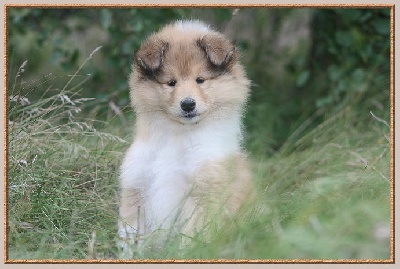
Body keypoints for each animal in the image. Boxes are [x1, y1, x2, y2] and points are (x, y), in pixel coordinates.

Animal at [117, 19, 252, 251]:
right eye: (171, 82)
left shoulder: (203, 193)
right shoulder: (136, 186)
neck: (178, 135)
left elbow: (191, 237)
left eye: (200, 80)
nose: (188, 104)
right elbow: (131, 234)